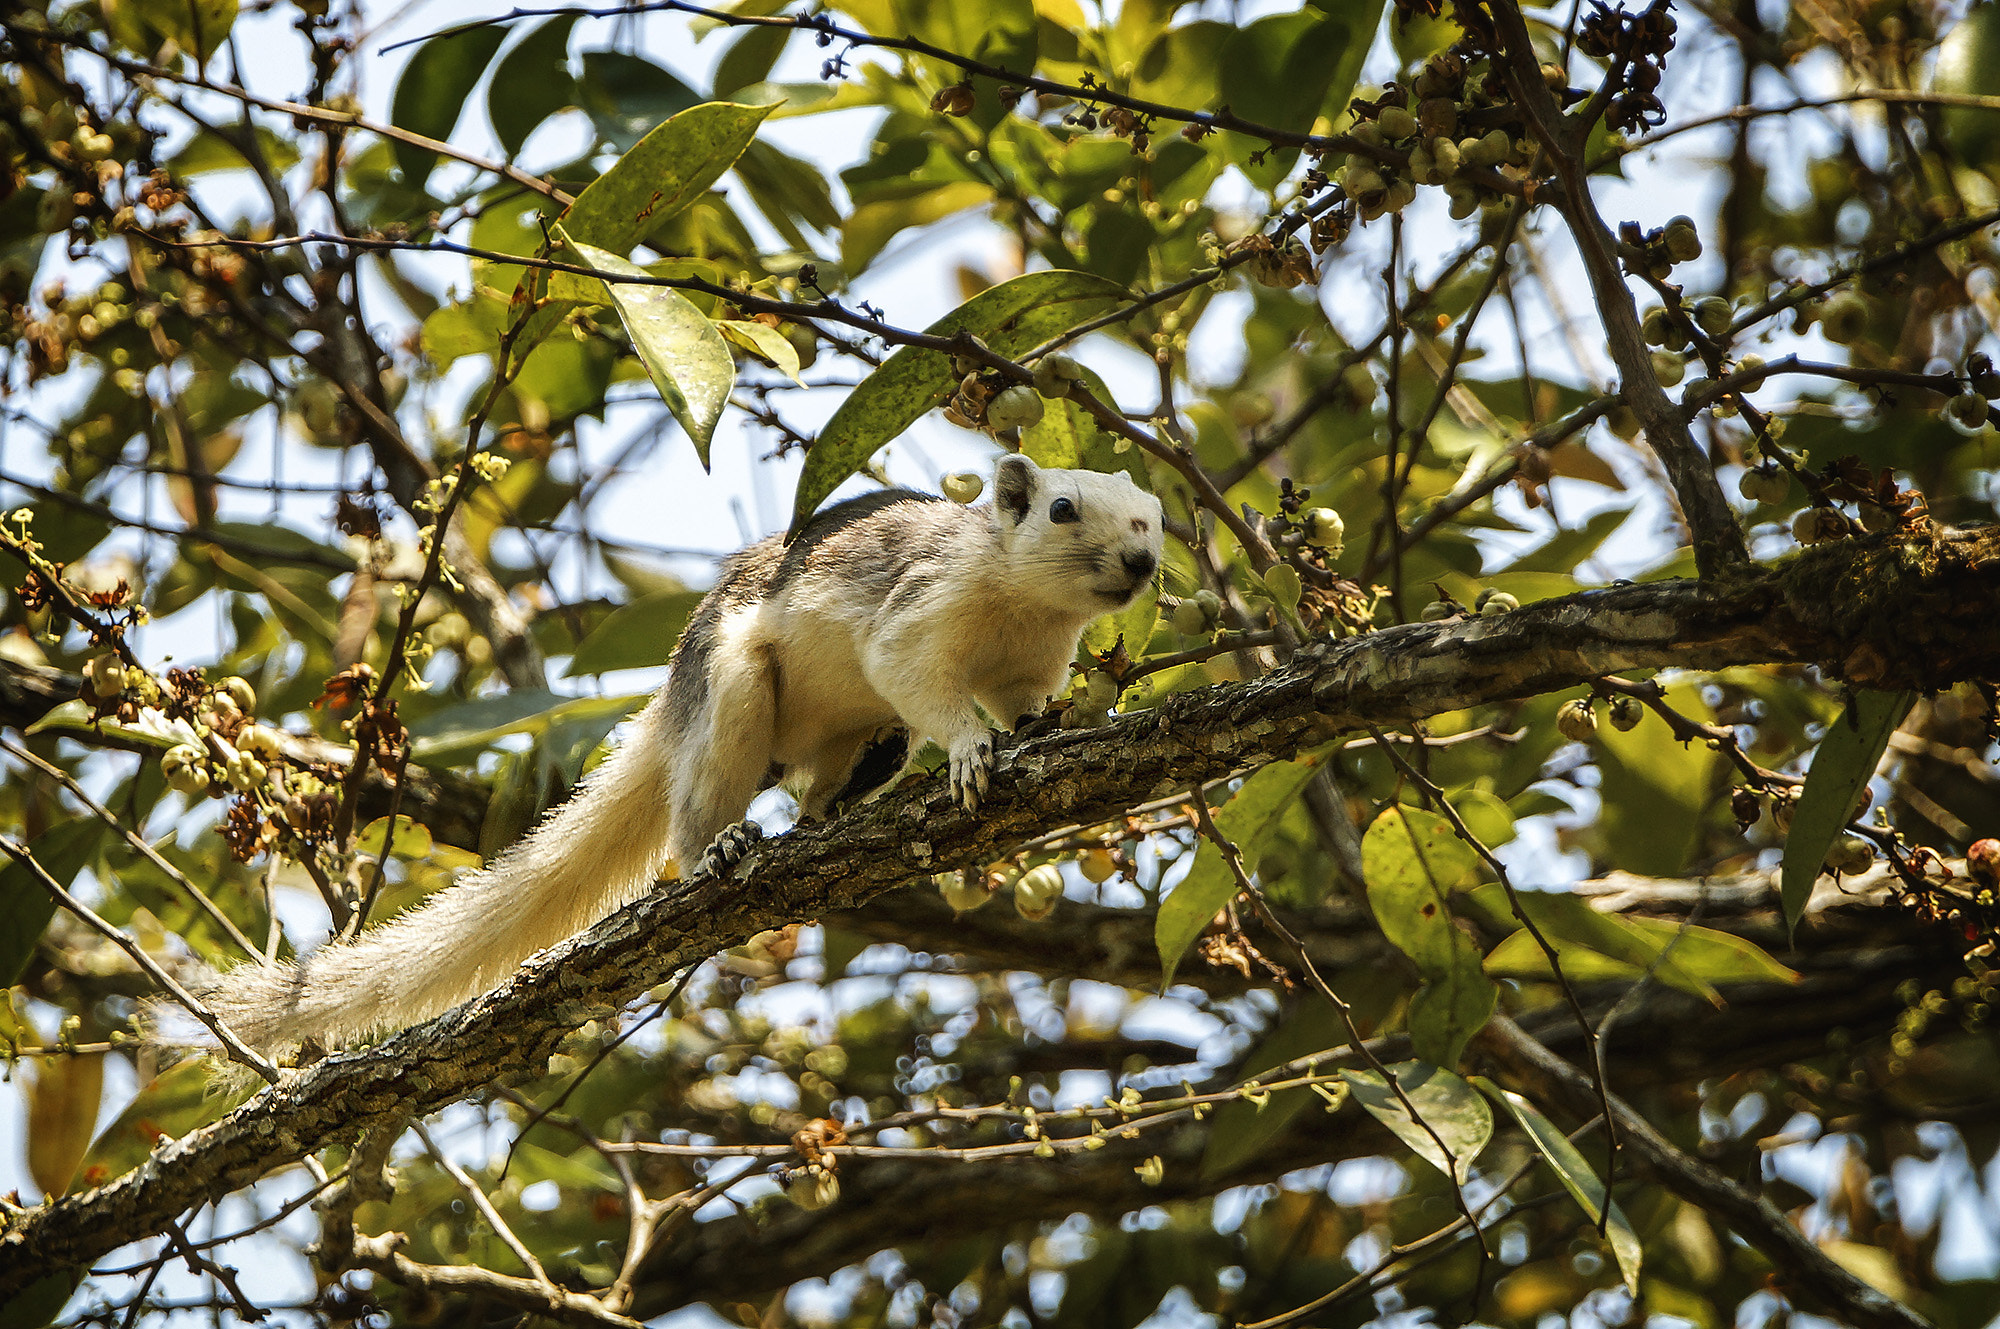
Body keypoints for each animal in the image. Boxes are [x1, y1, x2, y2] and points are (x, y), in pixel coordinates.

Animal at [191, 456, 1160, 1056]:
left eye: (1153, 516)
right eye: (1063, 508)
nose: (1143, 562)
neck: (1022, 610)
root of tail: (672, 694)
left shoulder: (1034, 664)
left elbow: (1026, 704)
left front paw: (1042, 729)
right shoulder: (920, 611)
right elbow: (911, 674)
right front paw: (968, 753)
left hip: (856, 738)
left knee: (832, 775)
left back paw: (839, 802)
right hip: (735, 685)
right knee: (705, 805)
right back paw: (722, 846)